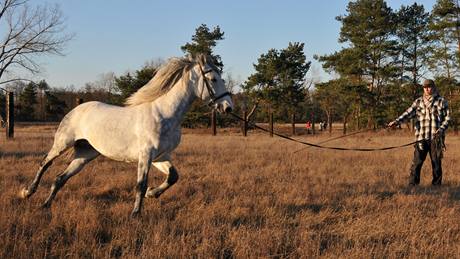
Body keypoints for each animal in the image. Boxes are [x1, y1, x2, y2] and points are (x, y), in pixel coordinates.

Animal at [19, 54, 232, 217]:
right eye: (213, 79)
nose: (228, 107)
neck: (164, 114)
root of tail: (77, 108)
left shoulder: (160, 156)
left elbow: (173, 176)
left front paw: (153, 194)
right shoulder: (145, 156)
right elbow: (140, 184)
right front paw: (135, 214)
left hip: (85, 155)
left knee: (60, 178)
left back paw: (45, 205)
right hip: (63, 143)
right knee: (45, 163)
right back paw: (27, 192)